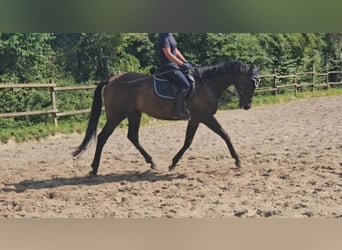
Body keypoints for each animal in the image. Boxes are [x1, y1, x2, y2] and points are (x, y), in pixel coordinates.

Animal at [73, 60, 260, 176]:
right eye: (247, 83)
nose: (247, 106)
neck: (207, 85)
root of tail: (111, 80)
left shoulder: (196, 119)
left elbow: (188, 141)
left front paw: (173, 163)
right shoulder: (205, 116)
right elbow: (224, 135)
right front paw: (238, 161)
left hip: (134, 113)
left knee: (132, 136)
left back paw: (152, 162)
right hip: (116, 115)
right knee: (103, 137)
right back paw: (94, 169)